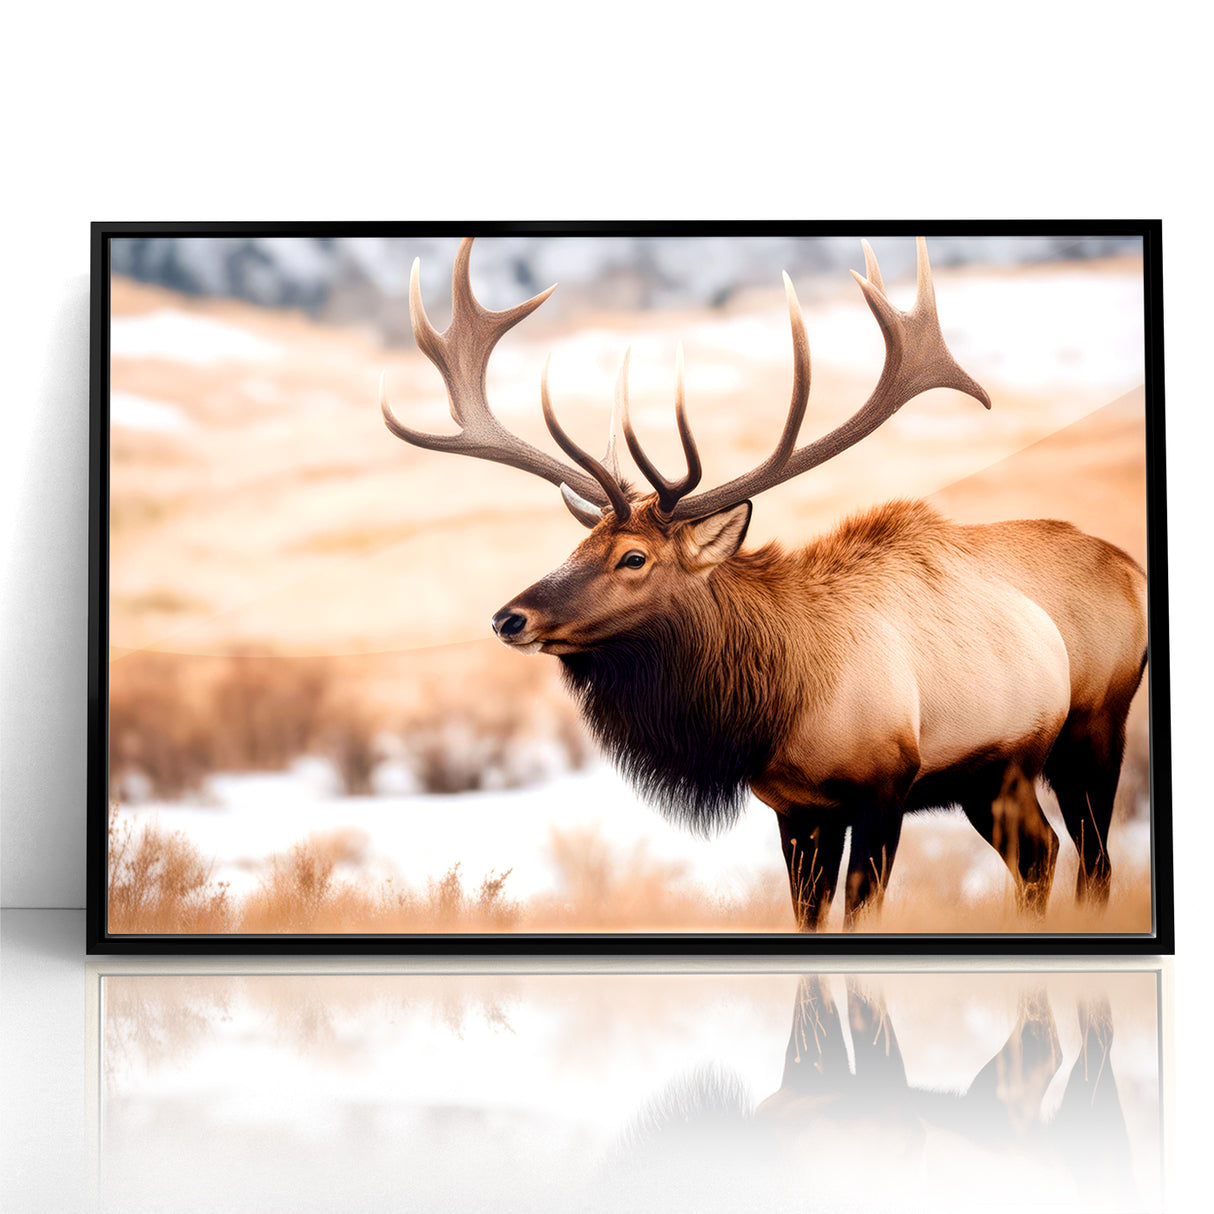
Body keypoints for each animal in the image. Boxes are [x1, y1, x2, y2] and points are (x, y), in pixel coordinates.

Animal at [380, 237, 1148, 930]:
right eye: (580, 542)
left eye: (634, 558)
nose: (510, 617)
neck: (779, 706)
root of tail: (1132, 567)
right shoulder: (795, 806)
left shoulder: (885, 784)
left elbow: (860, 911)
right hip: (991, 775)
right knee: (1042, 855)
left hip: (1091, 728)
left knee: (1093, 857)